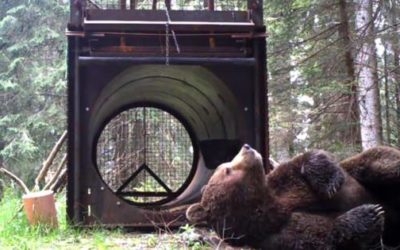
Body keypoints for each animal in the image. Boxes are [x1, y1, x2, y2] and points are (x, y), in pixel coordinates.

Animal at [188, 146, 400, 249]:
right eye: (227, 169)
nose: (247, 147)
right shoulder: (278, 234)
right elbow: (323, 236)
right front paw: (368, 214)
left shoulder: (283, 183)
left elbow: (305, 160)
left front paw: (329, 181)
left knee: (380, 164)